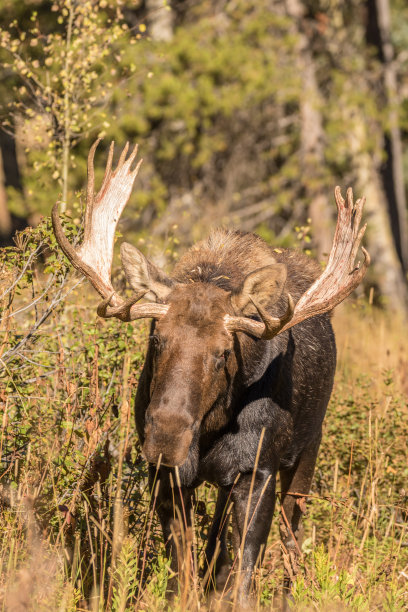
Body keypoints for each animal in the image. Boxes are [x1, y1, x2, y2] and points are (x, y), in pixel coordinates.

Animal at [51, 141, 370, 604]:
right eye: (156, 338)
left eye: (223, 353)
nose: (165, 437)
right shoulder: (167, 477)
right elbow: (183, 569)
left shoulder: (258, 471)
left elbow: (243, 574)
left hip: (307, 453)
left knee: (291, 532)